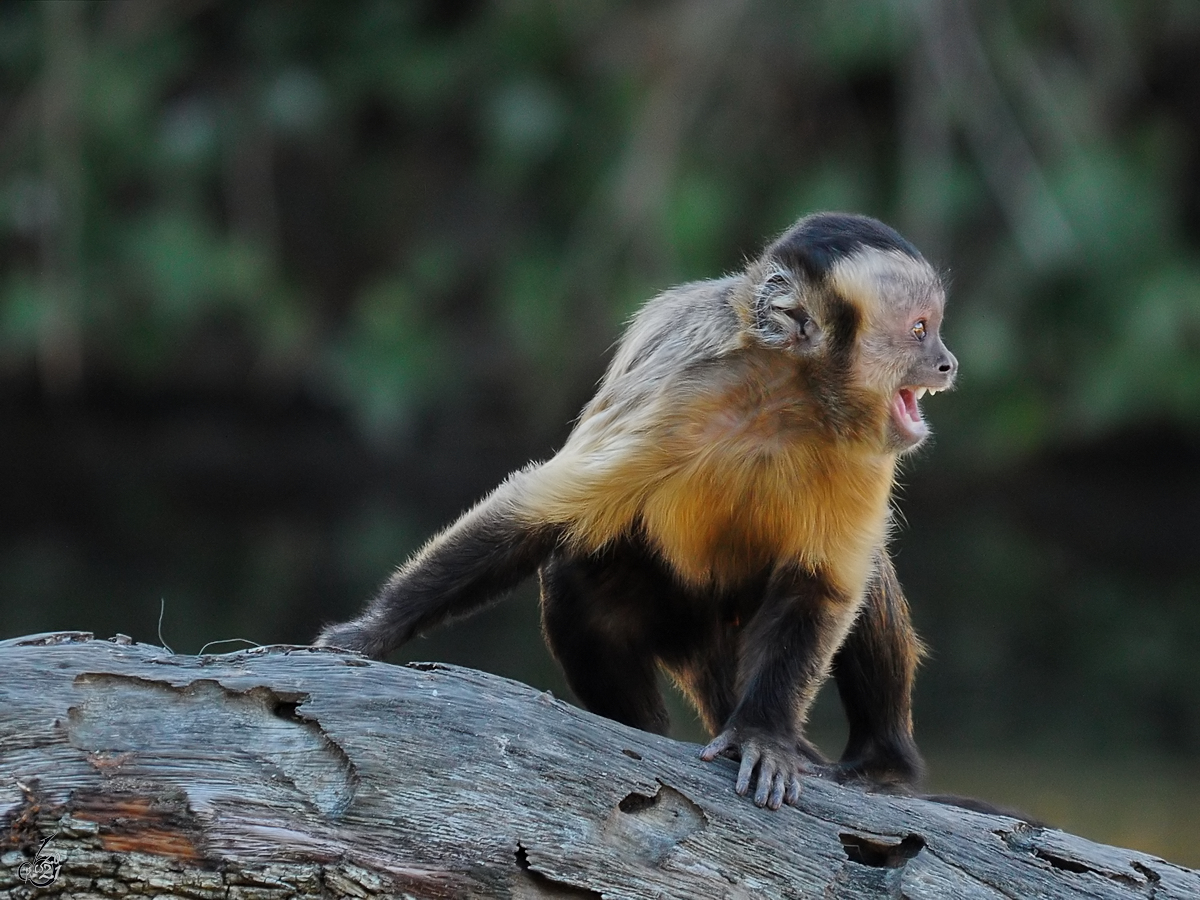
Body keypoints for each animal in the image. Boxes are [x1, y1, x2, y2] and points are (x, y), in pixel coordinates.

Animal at [316, 214, 955, 816]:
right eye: (920, 330)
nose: (947, 362)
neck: (788, 400)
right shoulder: (681, 393)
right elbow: (533, 513)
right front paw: (373, 630)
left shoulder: (864, 448)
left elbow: (821, 584)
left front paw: (761, 735)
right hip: (684, 622)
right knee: (577, 570)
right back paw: (641, 734)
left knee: (865, 578)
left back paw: (881, 762)